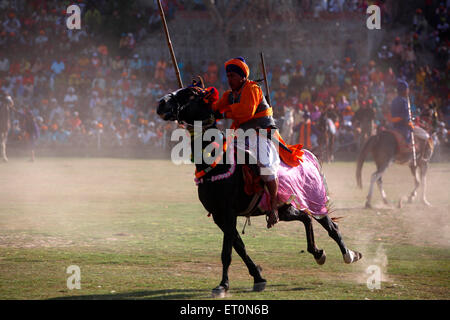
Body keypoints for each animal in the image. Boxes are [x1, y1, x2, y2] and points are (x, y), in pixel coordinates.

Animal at [158, 83, 362, 298]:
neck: (217, 164)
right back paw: (317, 252)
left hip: (312, 199)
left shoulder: (228, 214)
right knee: (305, 219)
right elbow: (239, 247)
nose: (162, 103)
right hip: (285, 208)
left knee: (331, 226)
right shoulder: (219, 216)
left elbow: (227, 252)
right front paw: (258, 277)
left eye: (191, 94)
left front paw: (223, 285)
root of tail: (305, 154)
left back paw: (349, 255)